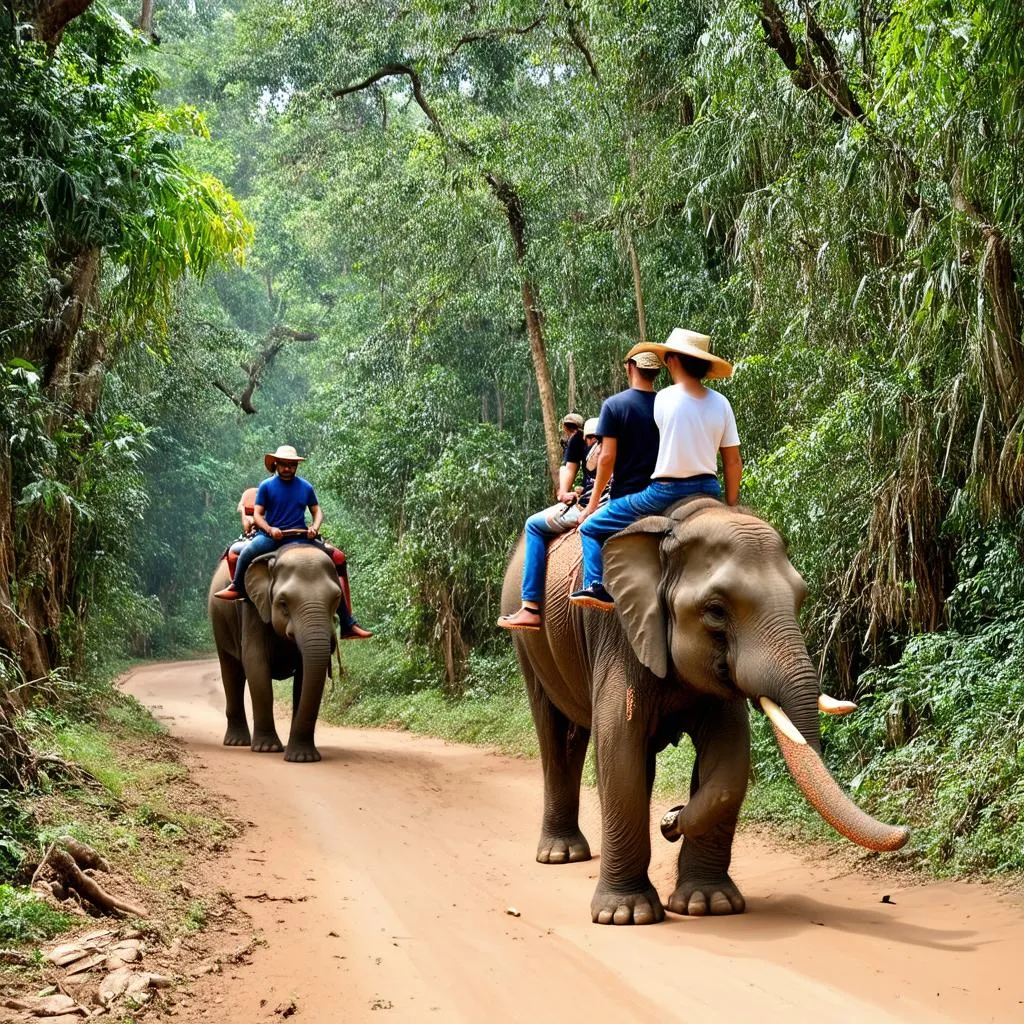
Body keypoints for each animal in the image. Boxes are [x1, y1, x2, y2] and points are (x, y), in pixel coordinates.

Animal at [207, 544, 344, 761]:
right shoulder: (252, 605)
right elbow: (255, 662)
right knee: (231, 673)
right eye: (283, 603)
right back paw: (237, 742)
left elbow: (304, 676)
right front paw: (267, 748)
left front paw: (301, 757)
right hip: (219, 621)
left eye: (336, 599)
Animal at [499, 495, 909, 929]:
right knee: (557, 736)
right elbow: (619, 751)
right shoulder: (616, 631)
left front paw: (707, 904)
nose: (670, 817)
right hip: (528, 644)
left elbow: (729, 761)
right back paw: (561, 855)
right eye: (715, 610)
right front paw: (626, 915)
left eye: (800, 599)